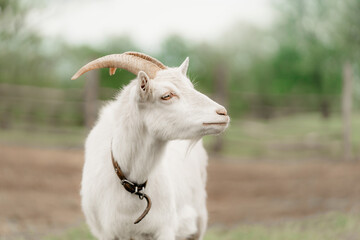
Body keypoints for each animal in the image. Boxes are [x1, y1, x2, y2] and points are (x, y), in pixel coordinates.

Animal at [71, 51, 229, 239]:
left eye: (191, 86)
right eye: (167, 95)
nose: (222, 113)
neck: (132, 183)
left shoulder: (165, 228)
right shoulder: (106, 233)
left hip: (199, 218)